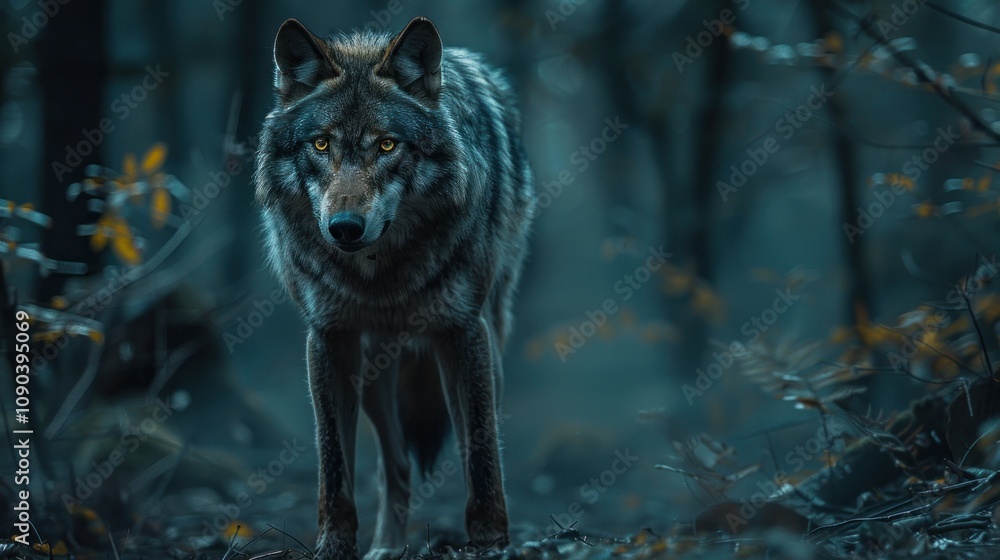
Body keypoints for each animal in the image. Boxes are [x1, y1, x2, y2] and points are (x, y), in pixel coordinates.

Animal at [254, 15, 535, 560]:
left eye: (387, 145)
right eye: (321, 144)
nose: (344, 228)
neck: (381, 277)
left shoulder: (462, 332)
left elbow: (480, 450)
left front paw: (490, 540)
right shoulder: (329, 338)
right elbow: (334, 464)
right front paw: (333, 544)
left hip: (489, 342)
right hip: (374, 369)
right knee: (396, 463)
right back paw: (387, 547)